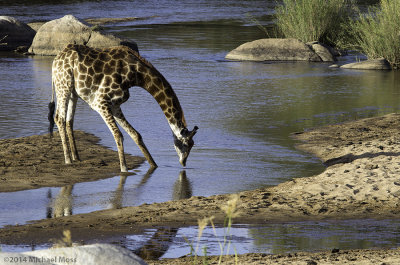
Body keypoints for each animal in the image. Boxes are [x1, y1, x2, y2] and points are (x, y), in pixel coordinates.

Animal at [49, 43, 198, 171]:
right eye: (187, 144)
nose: (183, 162)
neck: (136, 75)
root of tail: (56, 60)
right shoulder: (100, 102)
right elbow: (118, 134)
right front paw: (124, 169)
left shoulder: (115, 105)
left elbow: (135, 134)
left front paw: (153, 165)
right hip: (63, 85)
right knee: (59, 118)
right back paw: (68, 159)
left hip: (73, 92)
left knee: (69, 121)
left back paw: (76, 157)